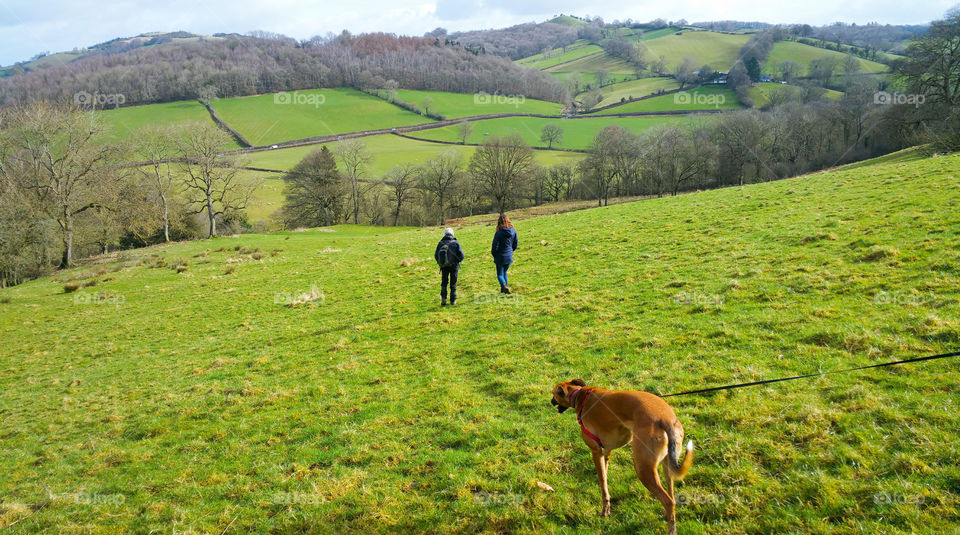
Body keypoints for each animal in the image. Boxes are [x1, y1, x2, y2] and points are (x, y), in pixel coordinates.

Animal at [552, 378, 692, 532]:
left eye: (553, 393)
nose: (551, 402)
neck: (578, 394)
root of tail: (665, 419)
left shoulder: (596, 451)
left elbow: (602, 483)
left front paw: (605, 511)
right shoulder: (606, 451)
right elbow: (604, 476)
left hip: (643, 469)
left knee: (668, 501)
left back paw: (671, 528)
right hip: (667, 465)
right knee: (671, 496)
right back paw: (666, 516)